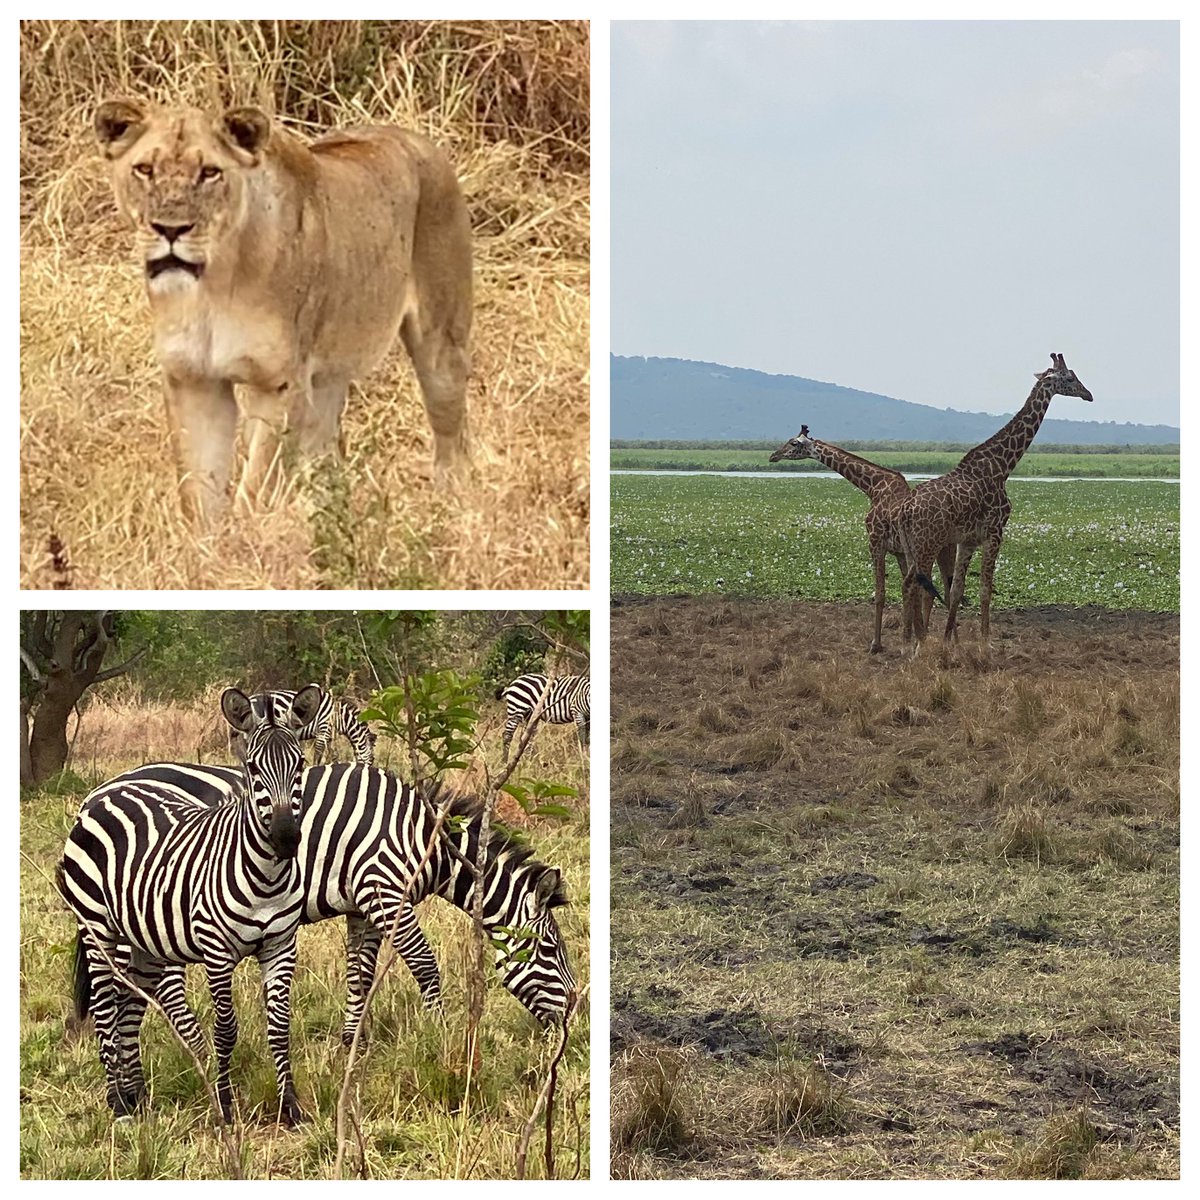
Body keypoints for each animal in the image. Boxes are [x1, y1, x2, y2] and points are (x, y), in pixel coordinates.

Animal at [57, 686, 321, 1123]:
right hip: (96, 927)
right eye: (252, 768)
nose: (286, 838)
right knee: (106, 1008)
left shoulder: (281, 946)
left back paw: (136, 1097)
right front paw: (226, 1106)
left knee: (128, 1005)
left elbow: (280, 1028)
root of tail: (105, 792)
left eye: (299, 765)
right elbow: (226, 1029)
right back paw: (118, 1104)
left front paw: (291, 1107)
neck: (266, 876)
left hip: (145, 938)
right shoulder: (216, 951)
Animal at [100, 763, 578, 1056]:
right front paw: (441, 1036)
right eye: (551, 950)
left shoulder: (363, 906)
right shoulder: (385, 892)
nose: (574, 1018)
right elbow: (425, 965)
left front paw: (352, 1044)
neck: (426, 840)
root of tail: (106, 787)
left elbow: (360, 974)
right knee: (147, 989)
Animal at [225, 686, 372, 768]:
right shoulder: (323, 728)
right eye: (372, 760)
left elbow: (333, 754)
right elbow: (318, 753)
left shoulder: (328, 734)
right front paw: (314, 768)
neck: (338, 717)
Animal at [772, 424, 960, 652]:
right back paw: (950, 641)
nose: (773, 455)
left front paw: (877, 644)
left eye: (793, 443)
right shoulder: (899, 552)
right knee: (946, 590)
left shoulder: (875, 543)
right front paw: (909, 639)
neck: (873, 488)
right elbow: (907, 592)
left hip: (930, 549)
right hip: (945, 549)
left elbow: (881, 594)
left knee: (937, 590)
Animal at [897, 350, 1094, 657]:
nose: (1089, 395)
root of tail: (904, 511)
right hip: (927, 544)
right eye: (1071, 378)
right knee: (913, 585)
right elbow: (985, 590)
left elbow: (957, 589)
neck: (1002, 466)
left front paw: (949, 643)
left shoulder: (967, 540)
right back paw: (915, 645)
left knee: (909, 584)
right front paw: (985, 644)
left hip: (911, 546)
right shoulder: (994, 533)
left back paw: (910, 643)